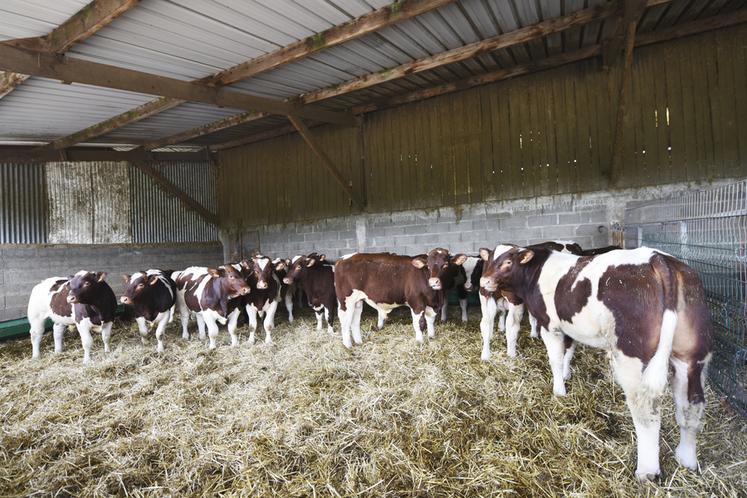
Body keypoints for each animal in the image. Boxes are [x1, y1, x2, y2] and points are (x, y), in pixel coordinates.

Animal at [334, 248, 464, 348]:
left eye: (446, 264)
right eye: (428, 265)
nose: (433, 282)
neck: (436, 296)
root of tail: (343, 259)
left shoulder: (432, 305)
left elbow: (430, 321)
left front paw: (431, 337)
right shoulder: (416, 303)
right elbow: (419, 323)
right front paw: (420, 342)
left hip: (357, 301)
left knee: (355, 321)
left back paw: (358, 342)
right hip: (346, 301)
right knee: (345, 321)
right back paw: (348, 345)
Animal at [480, 243, 712, 480]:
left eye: (508, 262)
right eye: (490, 260)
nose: (484, 281)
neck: (537, 271)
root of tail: (657, 258)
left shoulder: (549, 325)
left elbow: (555, 359)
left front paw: (558, 390)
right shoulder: (568, 325)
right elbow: (569, 349)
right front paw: (566, 376)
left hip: (631, 356)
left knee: (645, 411)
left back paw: (646, 471)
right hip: (690, 355)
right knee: (691, 404)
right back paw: (686, 458)